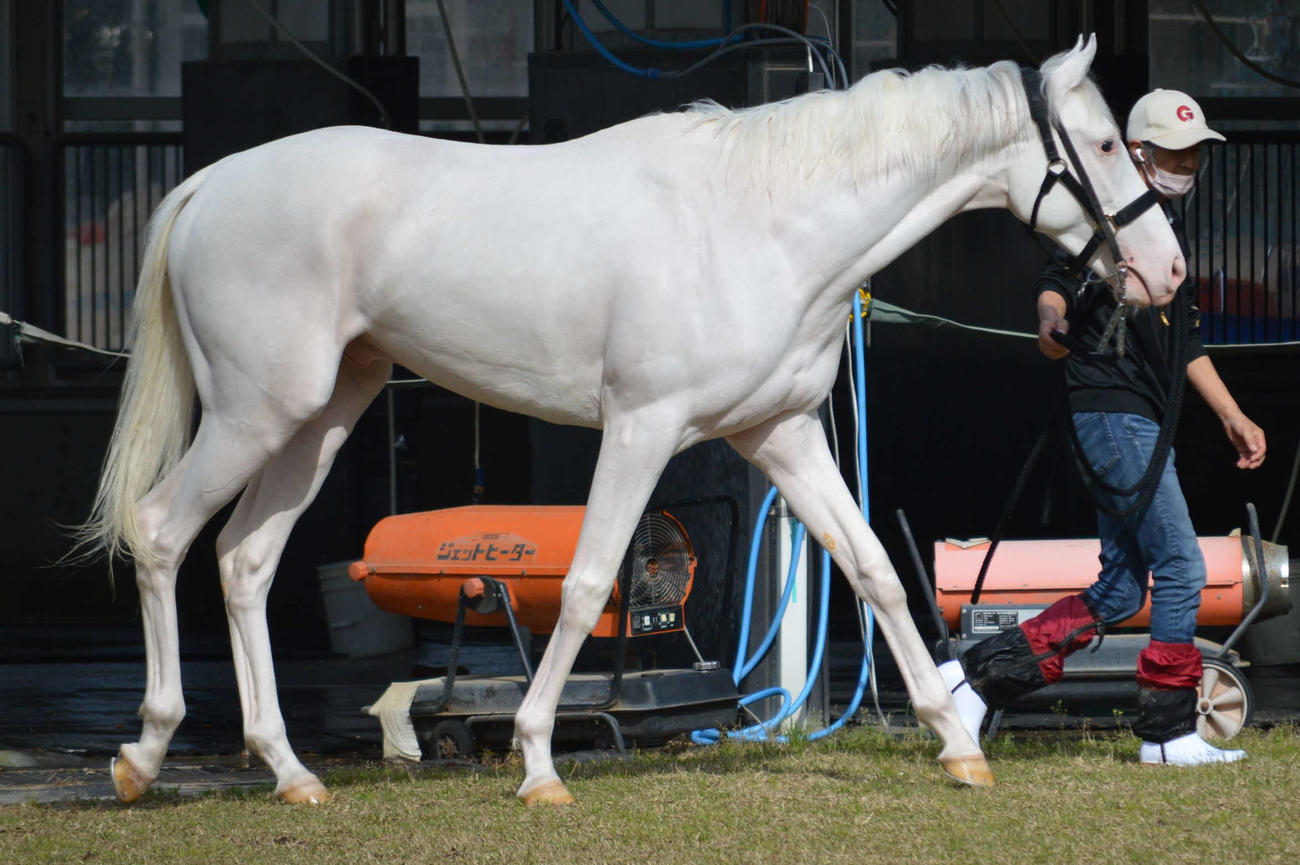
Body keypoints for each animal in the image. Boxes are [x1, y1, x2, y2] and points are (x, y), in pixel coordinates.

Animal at [80, 35, 1184, 806]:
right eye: (1098, 146)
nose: (1166, 271)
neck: (764, 224)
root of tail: (211, 181)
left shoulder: (782, 434)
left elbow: (872, 569)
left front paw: (956, 746)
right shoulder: (642, 428)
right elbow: (583, 584)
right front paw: (537, 763)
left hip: (319, 415)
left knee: (245, 560)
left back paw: (289, 770)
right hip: (255, 410)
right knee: (166, 530)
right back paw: (144, 752)